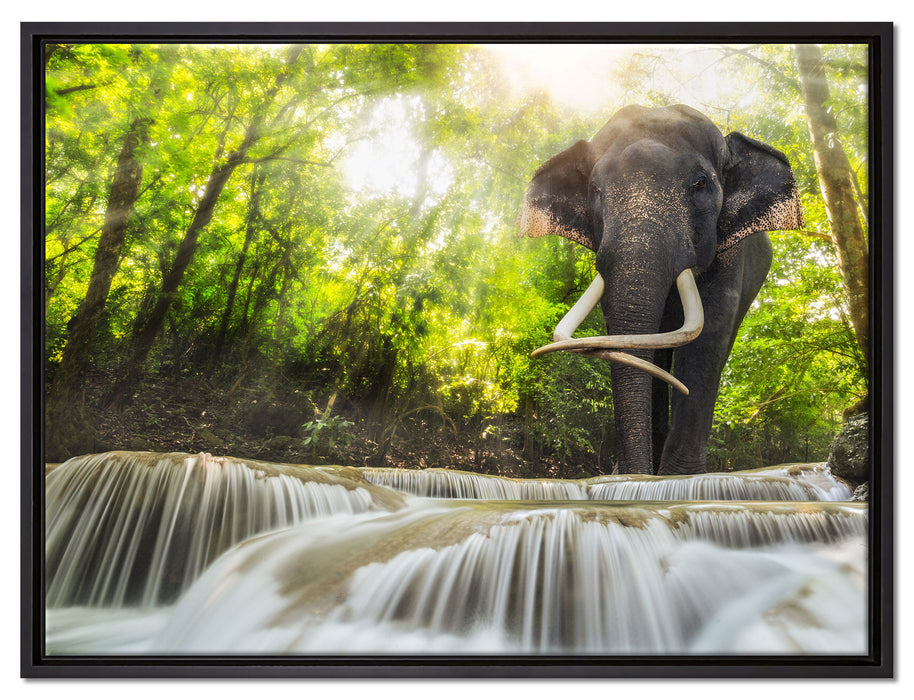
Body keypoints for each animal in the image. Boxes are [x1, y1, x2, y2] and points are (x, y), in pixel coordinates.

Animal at [520, 104, 803, 475]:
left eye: (700, 184)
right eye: (595, 189)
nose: (630, 473)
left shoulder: (730, 254)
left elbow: (708, 336)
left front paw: (680, 478)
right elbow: (631, 342)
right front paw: (633, 476)